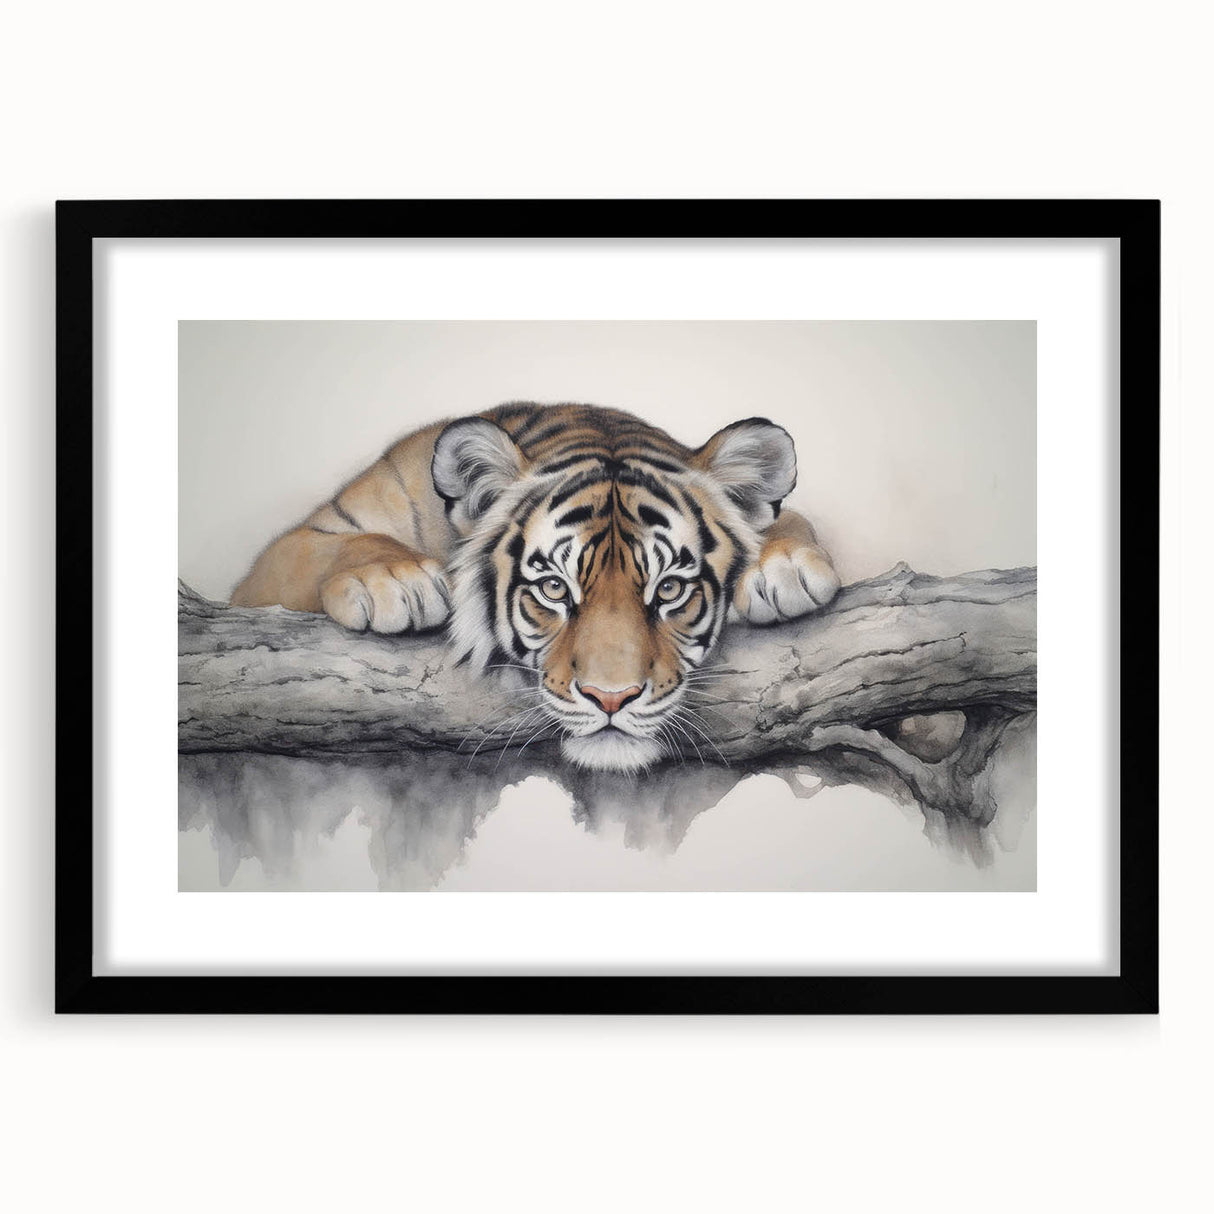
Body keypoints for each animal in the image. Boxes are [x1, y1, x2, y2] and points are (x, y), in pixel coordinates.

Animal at [231, 403, 841, 772]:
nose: (611, 699)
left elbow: (787, 521)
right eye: (553, 588)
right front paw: (397, 581)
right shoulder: (282, 556)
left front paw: (786, 566)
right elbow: (338, 546)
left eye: (669, 590)